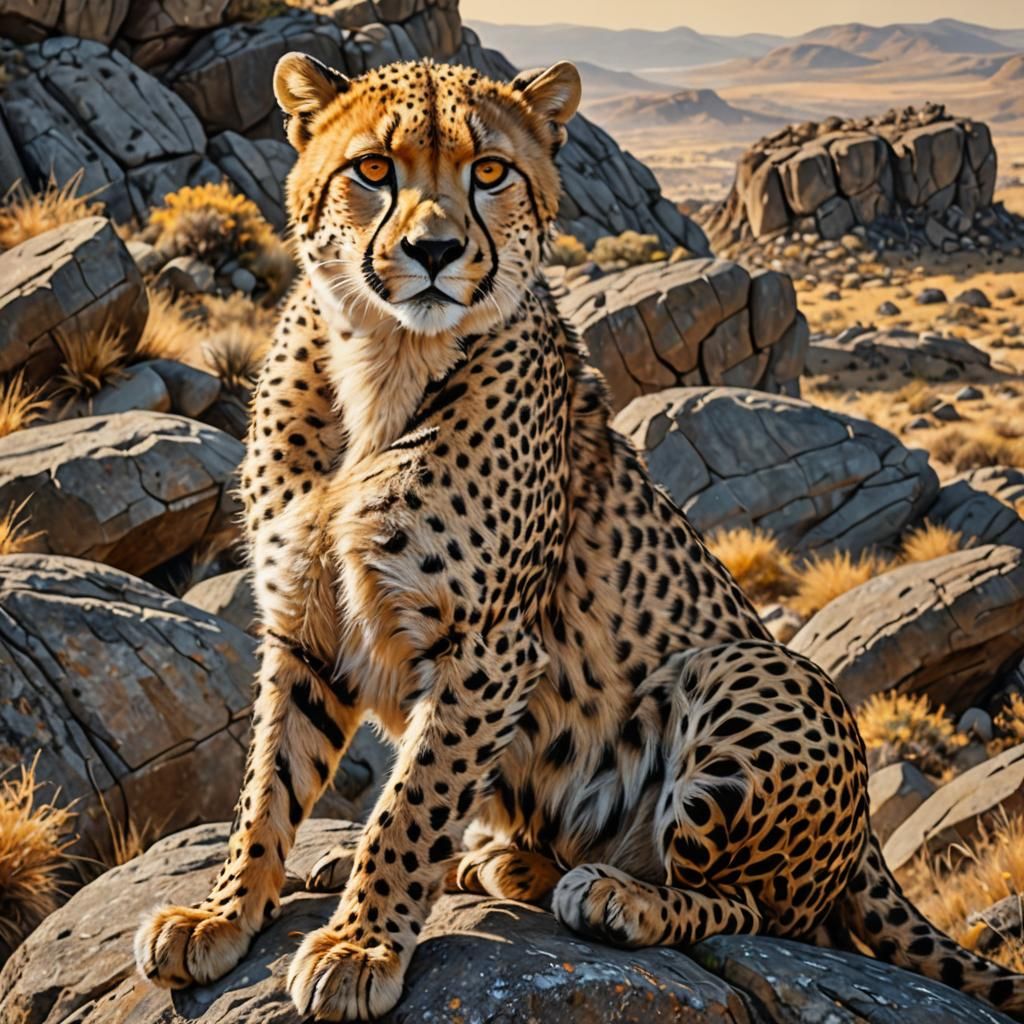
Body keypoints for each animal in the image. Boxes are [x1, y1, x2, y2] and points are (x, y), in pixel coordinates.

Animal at [134, 54, 1024, 1022]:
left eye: (490, 171)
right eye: (373, 169)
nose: (436, 252)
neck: (379, 360)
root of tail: (866, 839)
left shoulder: (488, 647)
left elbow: (412, 804)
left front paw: (360, 943)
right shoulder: (305, 624)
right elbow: (267, 782)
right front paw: (222, 913)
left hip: (745, 667)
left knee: (762, 909)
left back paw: (614, 893)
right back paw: (495, 861)